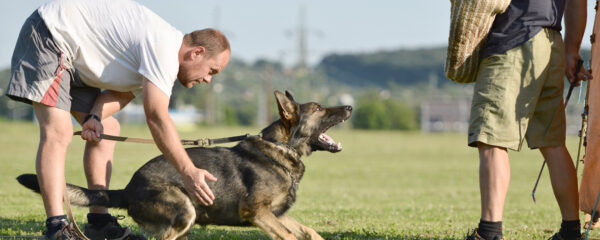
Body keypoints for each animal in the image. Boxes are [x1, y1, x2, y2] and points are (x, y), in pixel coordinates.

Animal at [17, 90, 352, 240]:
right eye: (319, 109)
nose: (349, 106)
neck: (280, 149)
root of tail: (129, 188)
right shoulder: (258, 213)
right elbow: (291, 235)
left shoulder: (276, 214)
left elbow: (309, 231)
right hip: (183, 212)